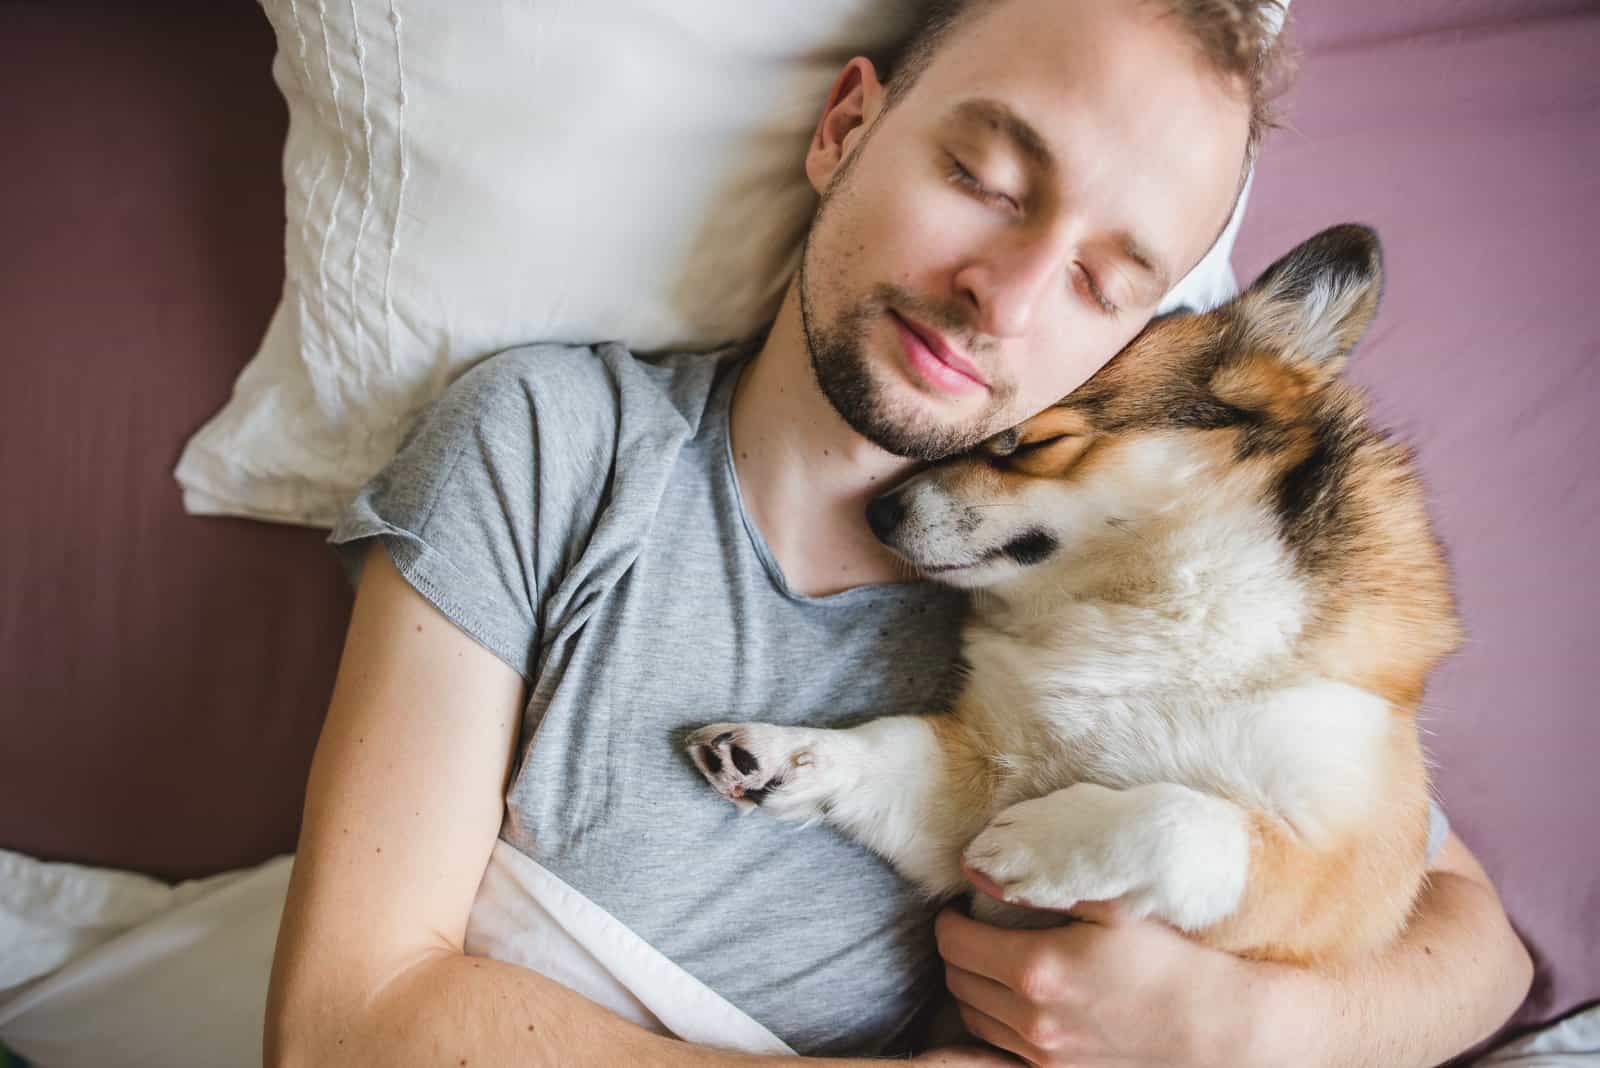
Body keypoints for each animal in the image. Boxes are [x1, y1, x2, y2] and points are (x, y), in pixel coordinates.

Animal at [688, 223, 1465, 959]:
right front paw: (780, 754)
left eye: (1022, 442)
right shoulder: (967, 782)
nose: (876, 513)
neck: (1149, 601)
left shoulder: (1344, 878)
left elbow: (1188, 820)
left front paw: (1039, 840)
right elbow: (884, 744)